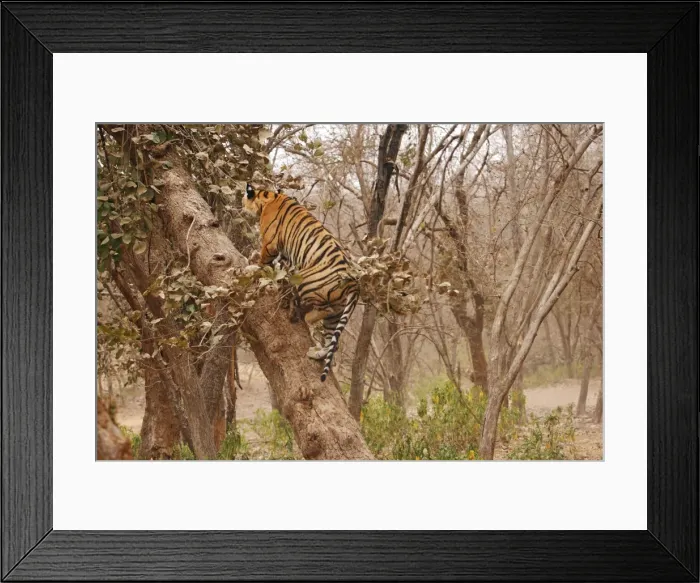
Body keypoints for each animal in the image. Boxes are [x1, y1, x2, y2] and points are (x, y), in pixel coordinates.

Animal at [242, 183, 359, 382]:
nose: (242, 206)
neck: (269, 197)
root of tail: (353, 284)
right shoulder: (285, 253)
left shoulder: (270, 244)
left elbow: (263, 263)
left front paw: (253, 268)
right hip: (338, 311)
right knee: (332, 340)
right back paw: (316, 353)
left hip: (307, 282)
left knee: (323, 310)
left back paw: (305, 317)